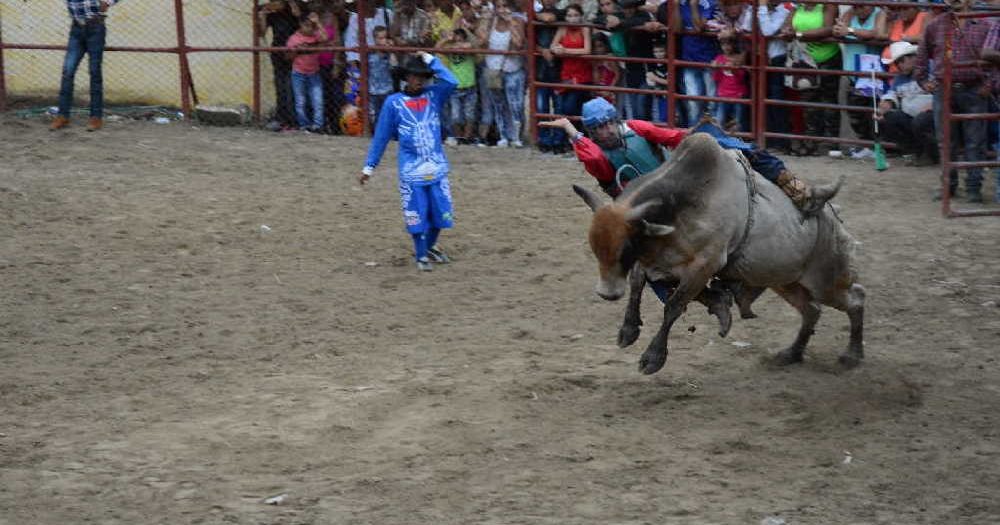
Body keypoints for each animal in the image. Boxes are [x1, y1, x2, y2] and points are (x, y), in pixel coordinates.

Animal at [576, 133, 864, 374]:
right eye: (594, 246)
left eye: (625, 248)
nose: (607, 293)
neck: (682, 205)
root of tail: (835, 220)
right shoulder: (653, 258)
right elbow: (638, 282)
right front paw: (628, 330)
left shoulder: (704, 265)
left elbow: (674, 305)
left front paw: (653, 358)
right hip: (784, 281)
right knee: (812, 310)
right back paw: (792, 353)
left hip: (827, 280)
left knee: (856, 299)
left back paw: (852, 355)